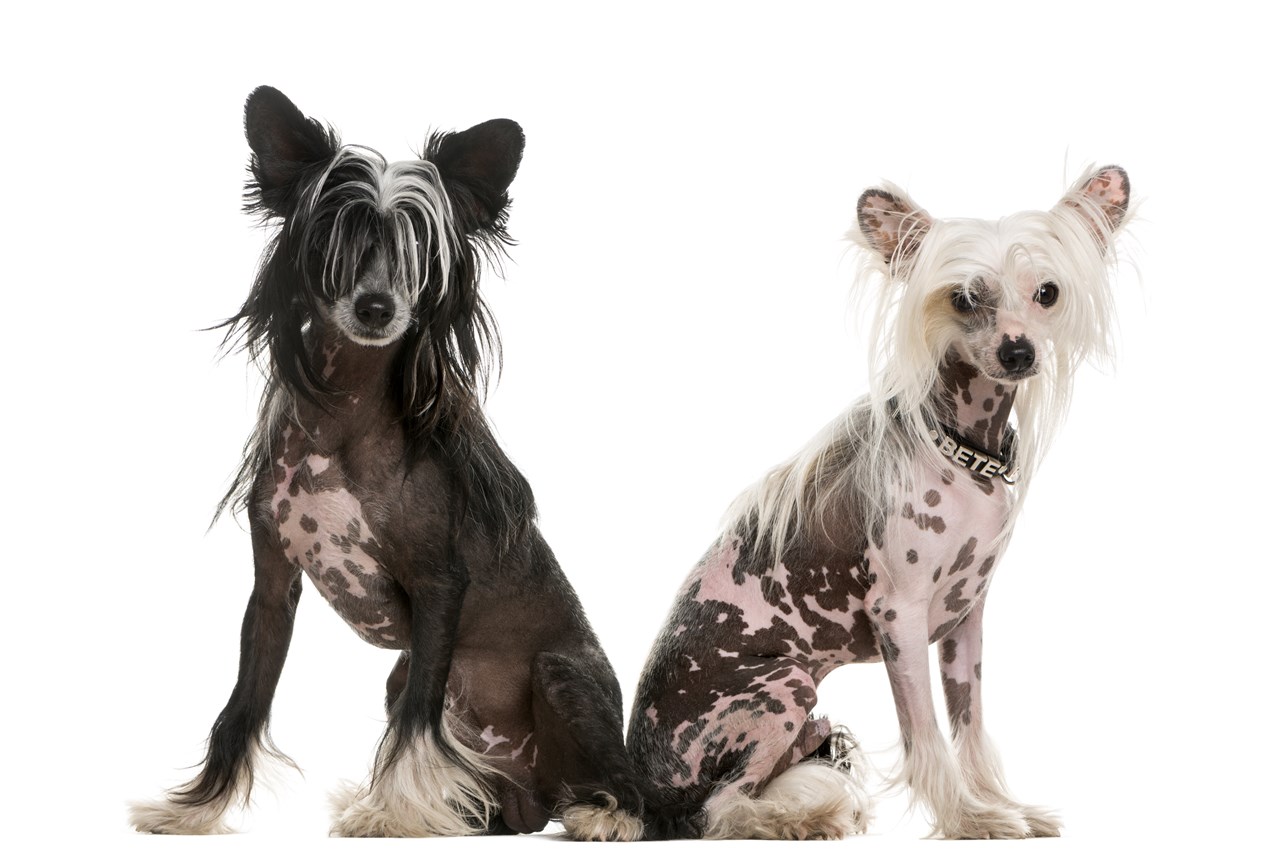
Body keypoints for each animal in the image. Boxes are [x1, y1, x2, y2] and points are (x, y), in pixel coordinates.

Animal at [132, 88, 640, 844]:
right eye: (337, 239)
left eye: (418, 246)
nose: (377, 306)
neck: (344, 419)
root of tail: (534, 798)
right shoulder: (272, 587)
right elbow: (241, 707)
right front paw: (194, 811)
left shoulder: (439, 586)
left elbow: (418, 720)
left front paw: (392, 813)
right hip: (408, 689)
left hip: (561, 674)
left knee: (636, 789)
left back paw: (607, 816)